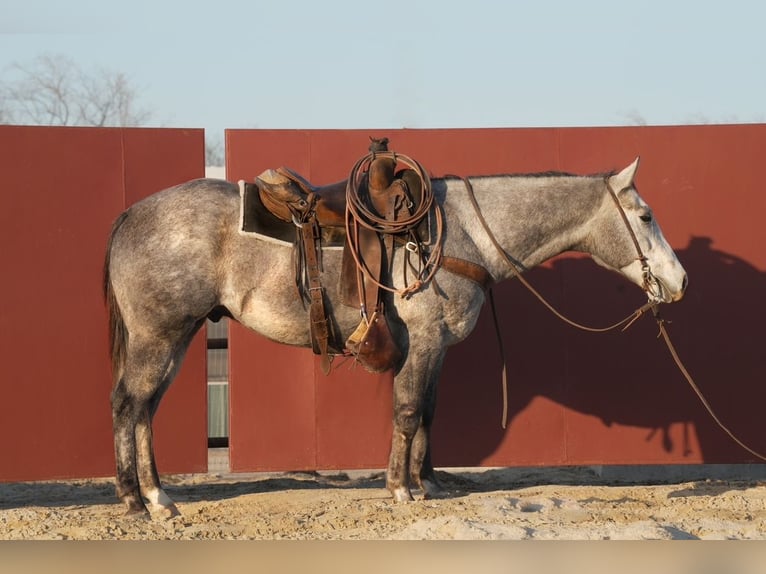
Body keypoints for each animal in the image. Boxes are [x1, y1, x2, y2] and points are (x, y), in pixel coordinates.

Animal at [103, 156, 688, 516]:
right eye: (645, 215)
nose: (679, 281)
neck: (462, 233)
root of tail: (132, 213)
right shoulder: (424, 341)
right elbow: (407, 412)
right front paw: (401, 489)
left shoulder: (436, 349)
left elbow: (427, 411)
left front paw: (426, 482)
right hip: (159, 337)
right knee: (130, 405)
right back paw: (140, 500)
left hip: (175, 339)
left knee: (144, 410)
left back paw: (155, 496)